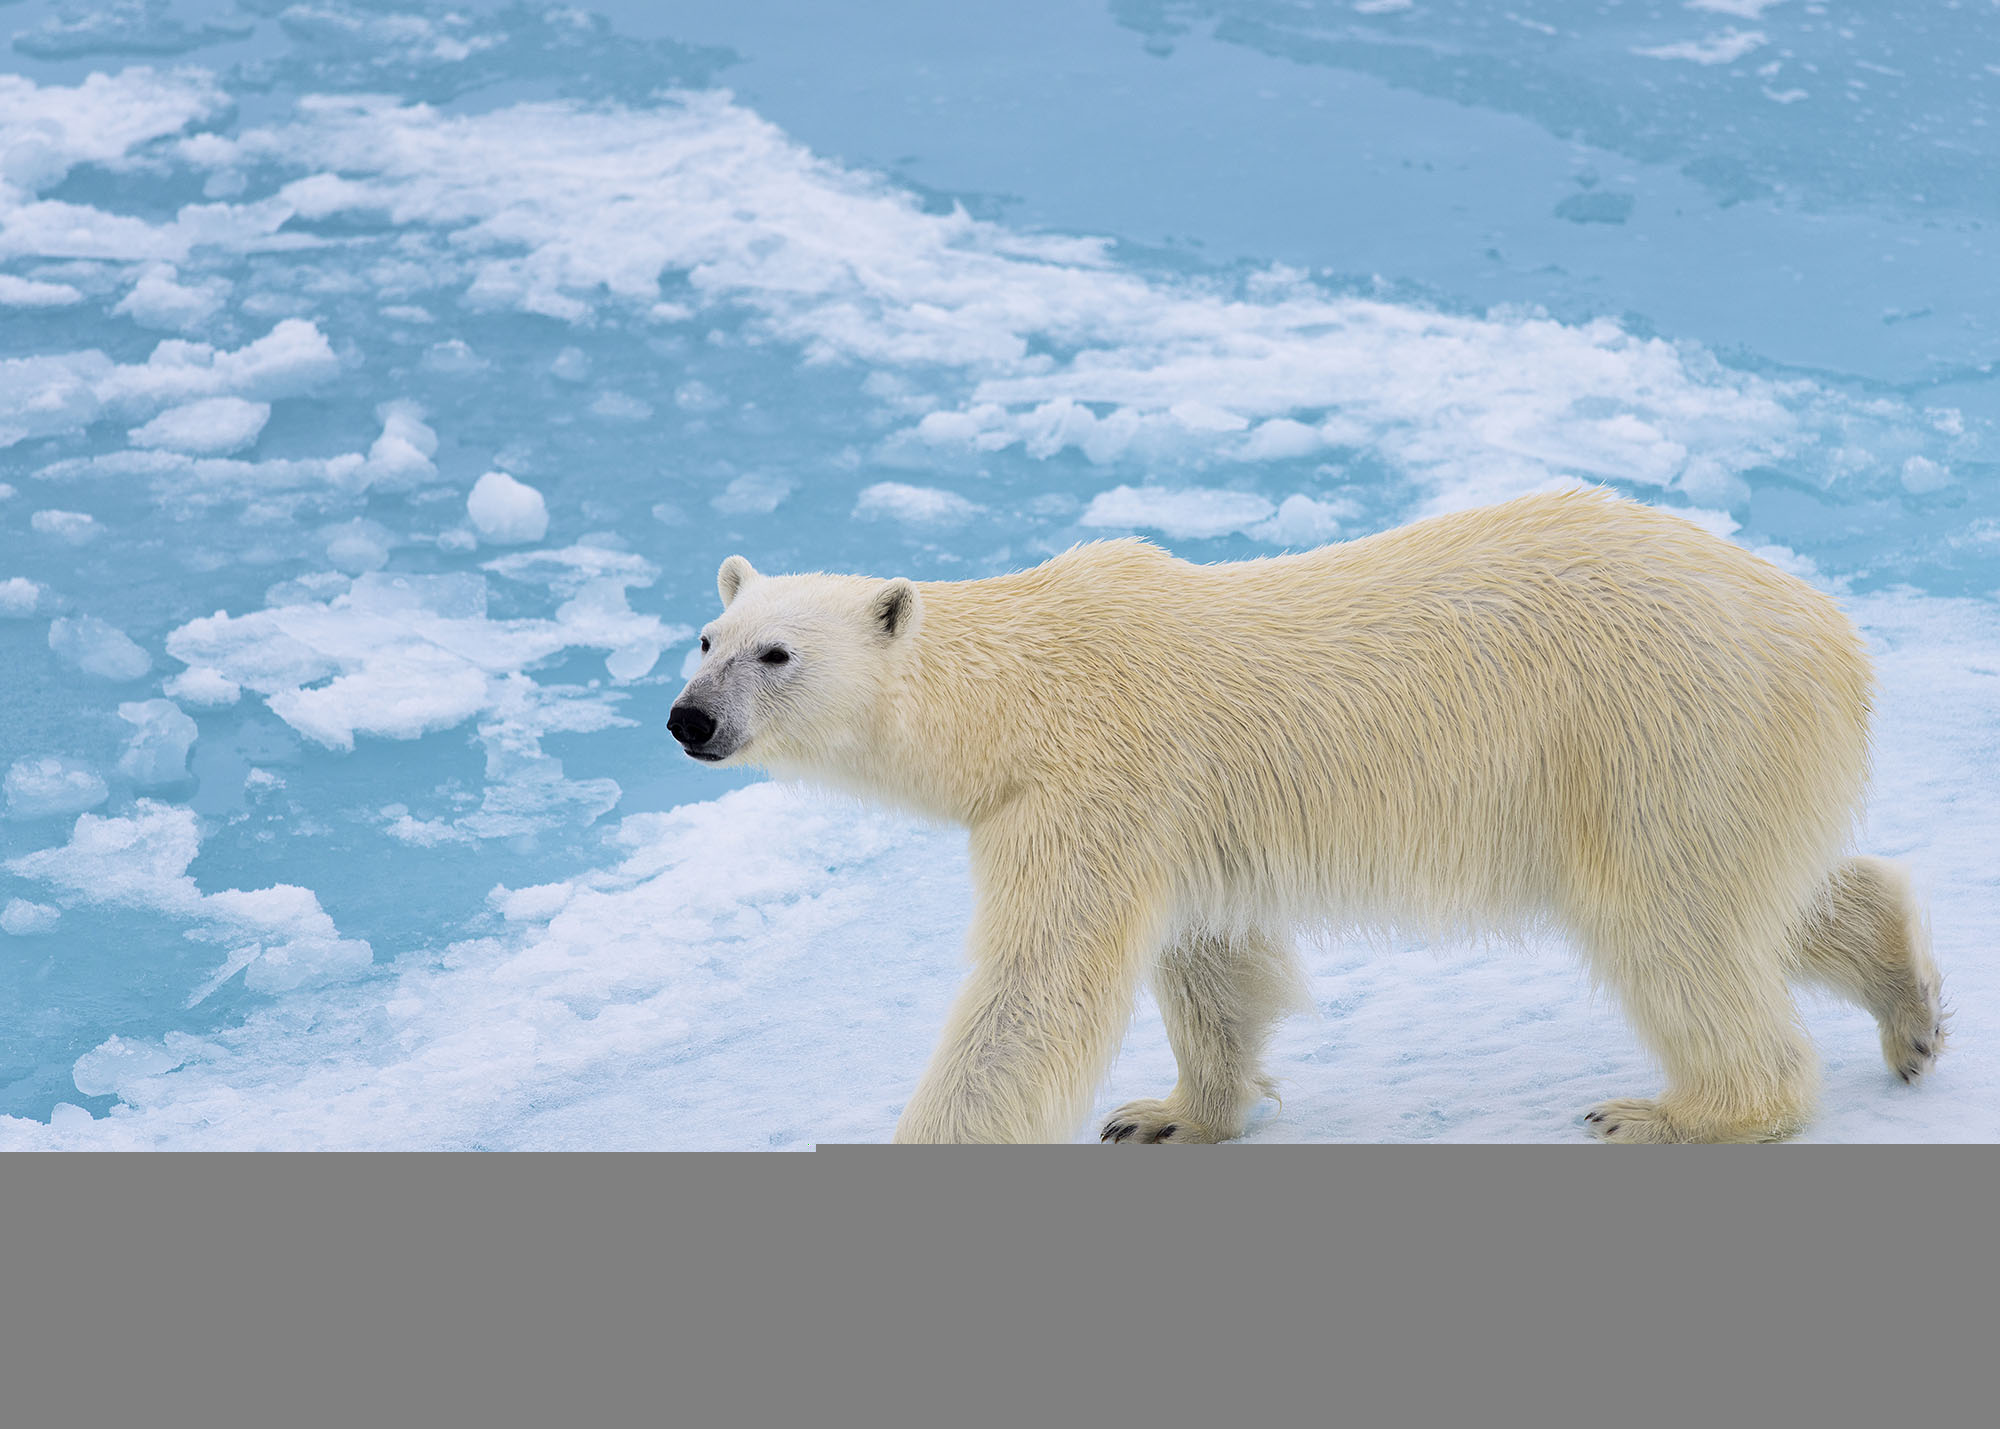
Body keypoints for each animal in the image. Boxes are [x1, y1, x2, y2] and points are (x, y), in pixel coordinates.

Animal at [668, 487, 1944, 1143]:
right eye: (705, 637)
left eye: (775, 654)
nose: (687, 720)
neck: (1027, 692)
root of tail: (1825, 629)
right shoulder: (1173, 820)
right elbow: (1210, 964)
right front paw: (1169, 1112)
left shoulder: (1090, 787)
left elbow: (1033, 994)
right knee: (1765, 892)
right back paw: (1908, 1007)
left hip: (1653, 730)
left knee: (1669, 922)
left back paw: (1674, 1112)